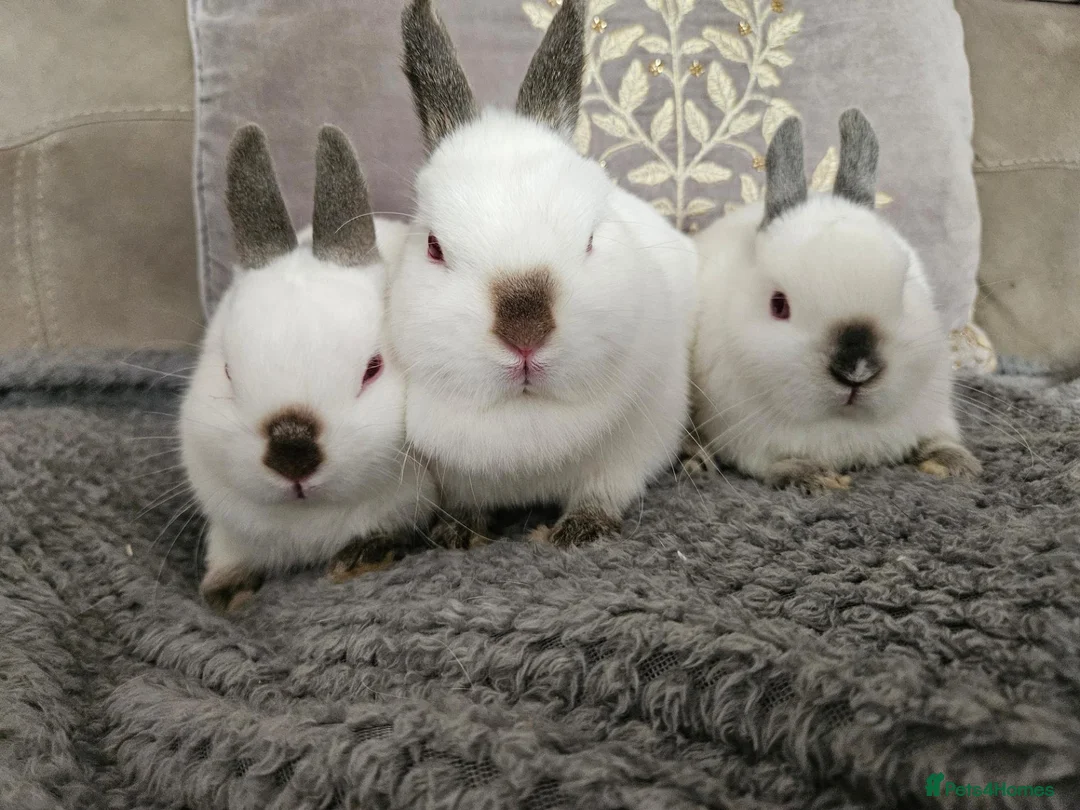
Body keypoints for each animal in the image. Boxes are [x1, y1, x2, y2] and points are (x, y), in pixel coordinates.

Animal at [180, 124, 436, 611]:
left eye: (373, 369)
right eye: (227, 372)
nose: (293, 452)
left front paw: (360, 560)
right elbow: (228, 553)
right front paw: (226, 593)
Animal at [387, 0, 698, 548]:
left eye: (590, 239)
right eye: (433, 247)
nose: (525, 332)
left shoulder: (630, 450)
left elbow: (603, 490)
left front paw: (581, 530)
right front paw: (458, 534)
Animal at [687, 110, 980, 493]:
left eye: (904, 290)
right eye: (778, 305)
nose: (856, 370)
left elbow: (938, 439)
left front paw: (955, 464)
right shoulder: (746, 435)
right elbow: (773, 463)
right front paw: (814, 477)